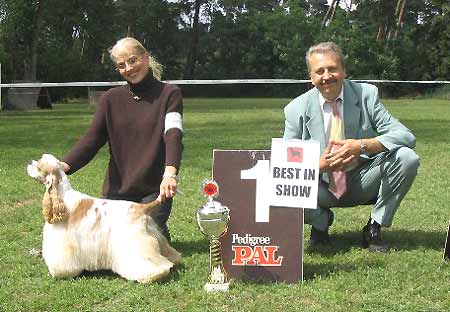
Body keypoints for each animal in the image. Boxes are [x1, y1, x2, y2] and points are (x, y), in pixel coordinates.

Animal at [25, 154, 181, 282]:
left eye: (39, 165)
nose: (29, 161)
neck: (62, 197)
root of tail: (141, 207)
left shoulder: (63, 242)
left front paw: (58, 273)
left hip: (136, 242)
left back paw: (153, 275)